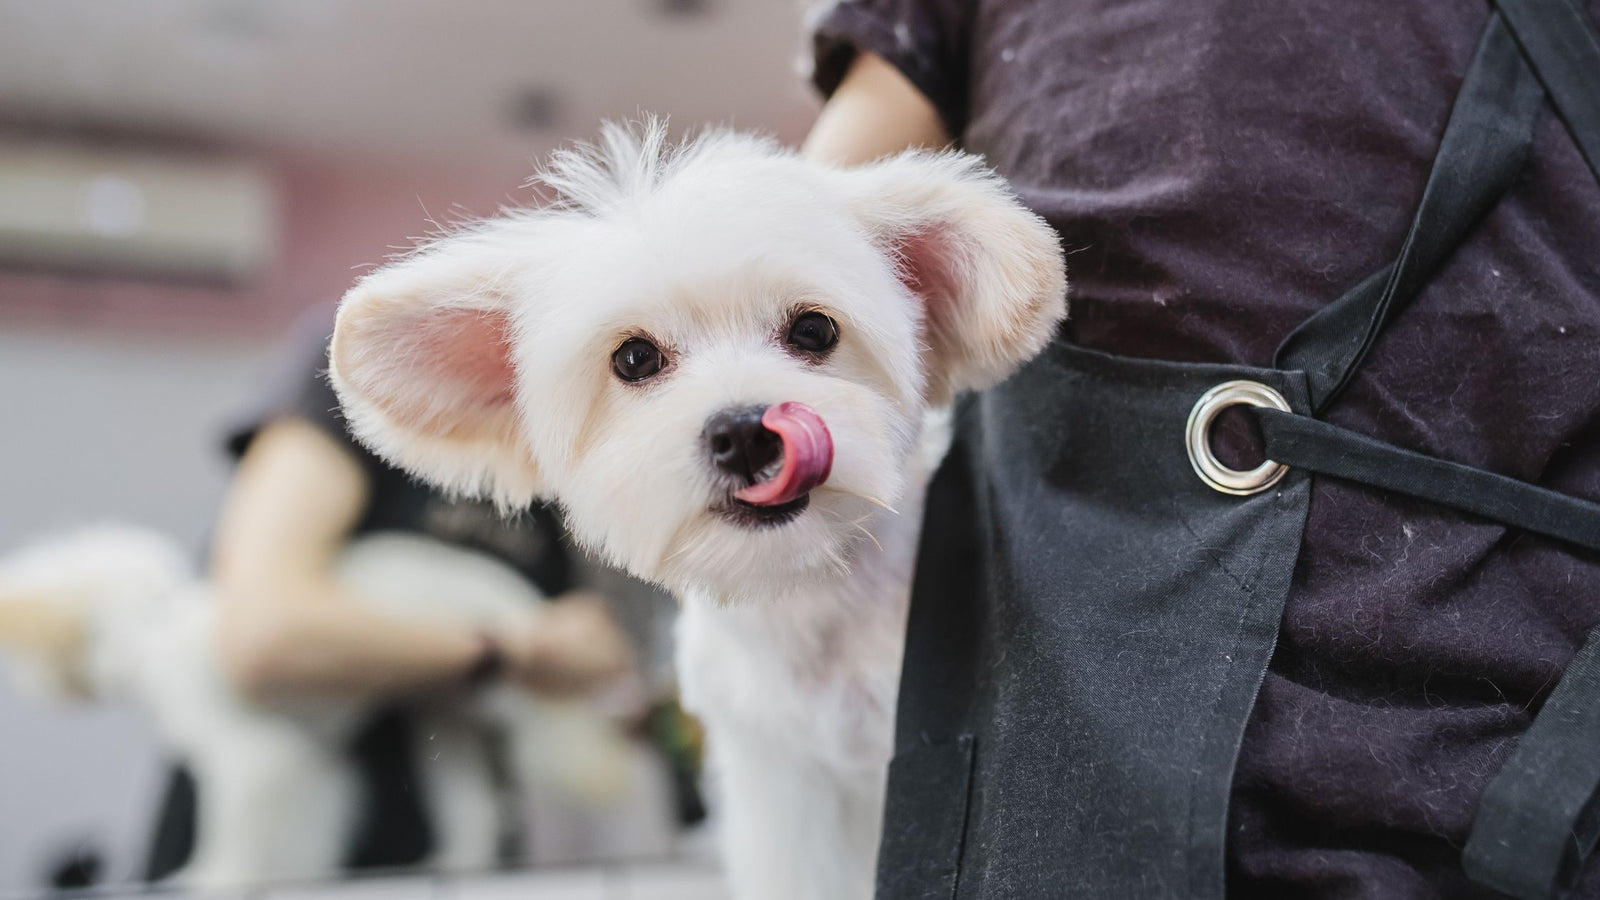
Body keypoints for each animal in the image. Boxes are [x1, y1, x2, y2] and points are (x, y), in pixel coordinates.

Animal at [0, 522, 636, 883]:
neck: (152, 633)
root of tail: (512, 597)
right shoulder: (306, 761)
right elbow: (305, 823)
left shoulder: (252, 758)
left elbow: (237, 831)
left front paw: (215, 873)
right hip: (445, 716)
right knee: (475, 810)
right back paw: (456, 863)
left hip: (527, 698)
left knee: (587, 754)